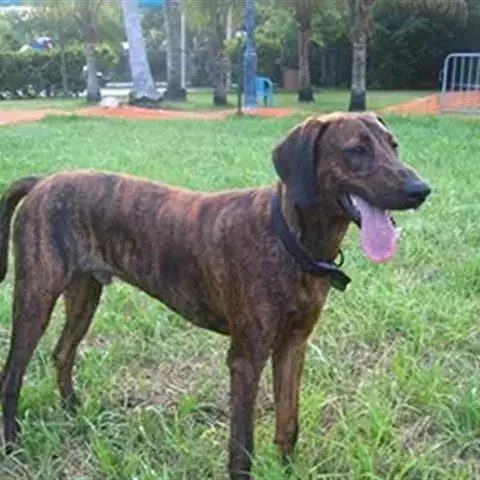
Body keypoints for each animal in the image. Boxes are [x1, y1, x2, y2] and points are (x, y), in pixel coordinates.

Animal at [0, 112, 430, 478]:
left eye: (393, 146)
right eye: (356, 150)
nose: (421, 190)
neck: (290, 238)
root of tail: (41, 182)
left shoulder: (293, 345)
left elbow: (288, 423)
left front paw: (287, 470)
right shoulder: (246, 358)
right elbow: (242, 446)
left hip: (85, 293)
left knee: (63, 352)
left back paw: (73, 411)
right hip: (35, 297)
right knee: (12, 373)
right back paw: (12, 444)